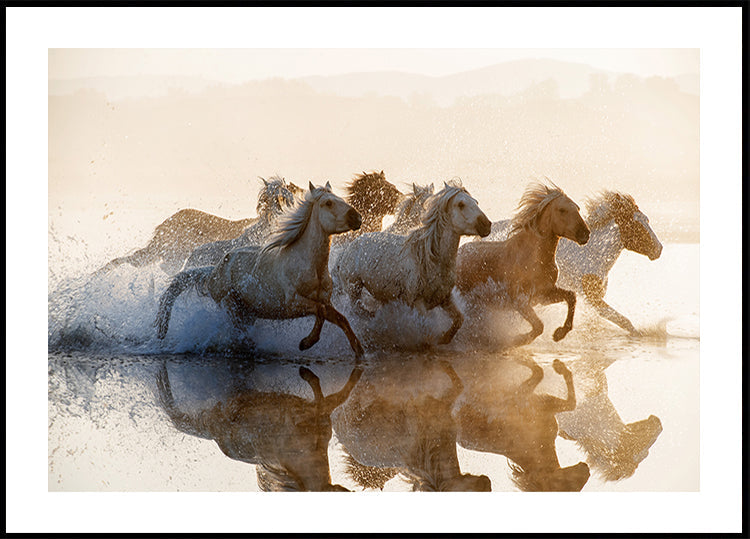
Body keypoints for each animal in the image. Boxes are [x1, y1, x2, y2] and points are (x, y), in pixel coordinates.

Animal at [155, 182, 365, 360]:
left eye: (341, 199)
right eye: (328, 203)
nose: (357, 218)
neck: (311, 266)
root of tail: (214, 271)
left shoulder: (326, 300)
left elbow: (340, 318)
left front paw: (359, 350)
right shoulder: (292, 303)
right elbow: (320, 311)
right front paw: (306, 343)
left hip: (249, 312)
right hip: (231, 306)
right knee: (237, 334)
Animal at [332, 181, 491, 345]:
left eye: (476, 202)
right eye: (461, 204)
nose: (486, 224)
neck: (430, 259)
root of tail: (351, 245)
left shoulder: (445, 298)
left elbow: (459, 319)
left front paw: (444, 338)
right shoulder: (418, 303)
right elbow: (427, 331)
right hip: (354, 288)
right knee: (357, 310)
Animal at [456, 181, 590, 347]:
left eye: (577, 208)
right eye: (562, 210)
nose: (585, 233)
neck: (536, 259)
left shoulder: (542, 295)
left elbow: (571, 296)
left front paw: (560, 333)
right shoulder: (520, 301)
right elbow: (539, 326)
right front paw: (517, 339)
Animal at [482, 191, 662, 335]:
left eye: (647, 220)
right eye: (636, 225)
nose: (659, 249)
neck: (592, 255)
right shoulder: (593, 298)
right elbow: (624, 321)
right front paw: (641, 334)